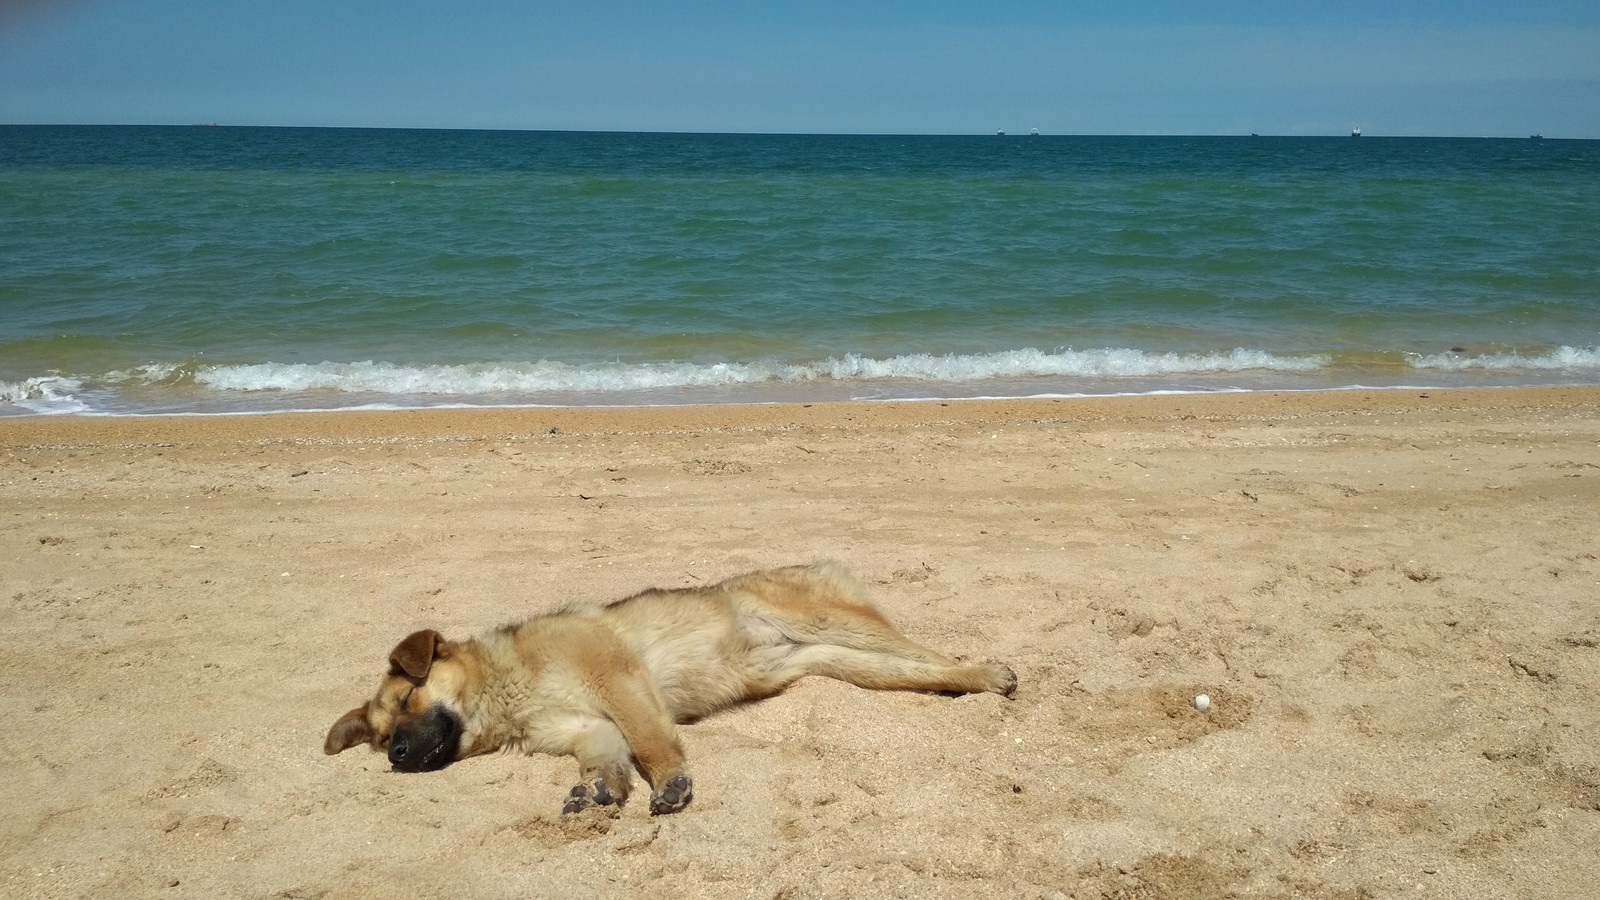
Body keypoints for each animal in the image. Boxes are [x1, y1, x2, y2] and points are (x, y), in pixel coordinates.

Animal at [326, 560, 1017, 813]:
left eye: (407, 702)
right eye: (381, 735)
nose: (395, 755)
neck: (508, 687)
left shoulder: (617, 678)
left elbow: (652, 742)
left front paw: (670, 782)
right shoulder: (586, 727)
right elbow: (605, 757)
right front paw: (598, 789)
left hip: (839, 625)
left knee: (928, 650)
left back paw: (989, 671)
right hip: (840, 663)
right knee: (923, 671)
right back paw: (972, 680)